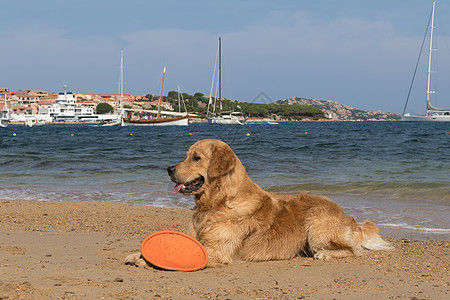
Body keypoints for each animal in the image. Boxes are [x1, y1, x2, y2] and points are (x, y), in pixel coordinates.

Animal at [125, 138, 392, 268]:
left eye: (196, 158)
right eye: (187, 155)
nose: (169, 169)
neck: (218, 203)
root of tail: (348, 216)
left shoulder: (218, 250)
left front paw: (144, 260)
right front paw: (136, 254)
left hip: (317, 227)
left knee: (352, 250)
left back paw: (325, 255)